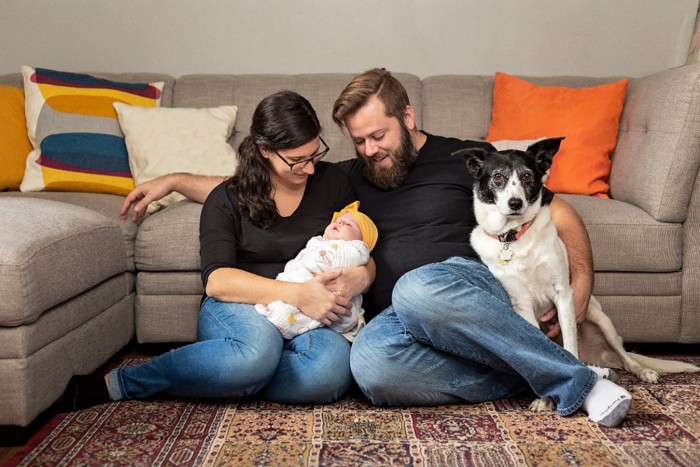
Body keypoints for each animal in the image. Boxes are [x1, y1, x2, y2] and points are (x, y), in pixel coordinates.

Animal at [454, 138, 700, 414]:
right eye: (498, 177)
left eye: (528, 176)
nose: (515, 204)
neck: (514, 237)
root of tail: (598, 355)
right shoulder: (522, 305)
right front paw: (546, 397)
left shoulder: (563, 295)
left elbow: (568, 349)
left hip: (600, 318)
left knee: (626, 357)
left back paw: (642, 371)